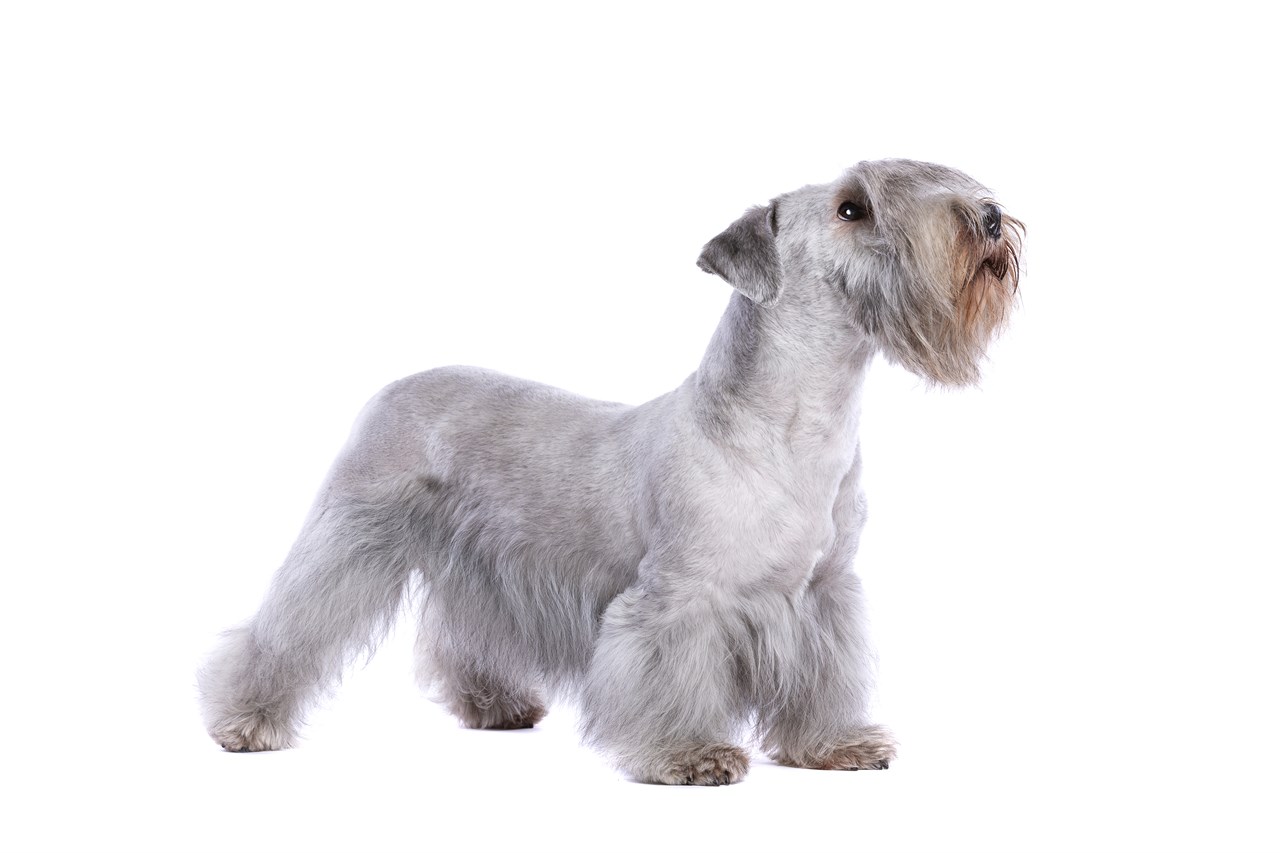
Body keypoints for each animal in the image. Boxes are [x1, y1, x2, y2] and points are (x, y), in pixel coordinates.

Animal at [197, 157, 1018, 783]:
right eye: (852, 207)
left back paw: (496, 705)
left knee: (462, 637)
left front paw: (833, 745)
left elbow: (824, 679)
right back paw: (244, 721)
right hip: (349, 542)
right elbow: (671, 679)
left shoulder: (822, 594)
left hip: (478, 565)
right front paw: (689, 755)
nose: (988, 217)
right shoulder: (678, 599)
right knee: (283, 633)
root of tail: (395, 386)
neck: (795, 424)